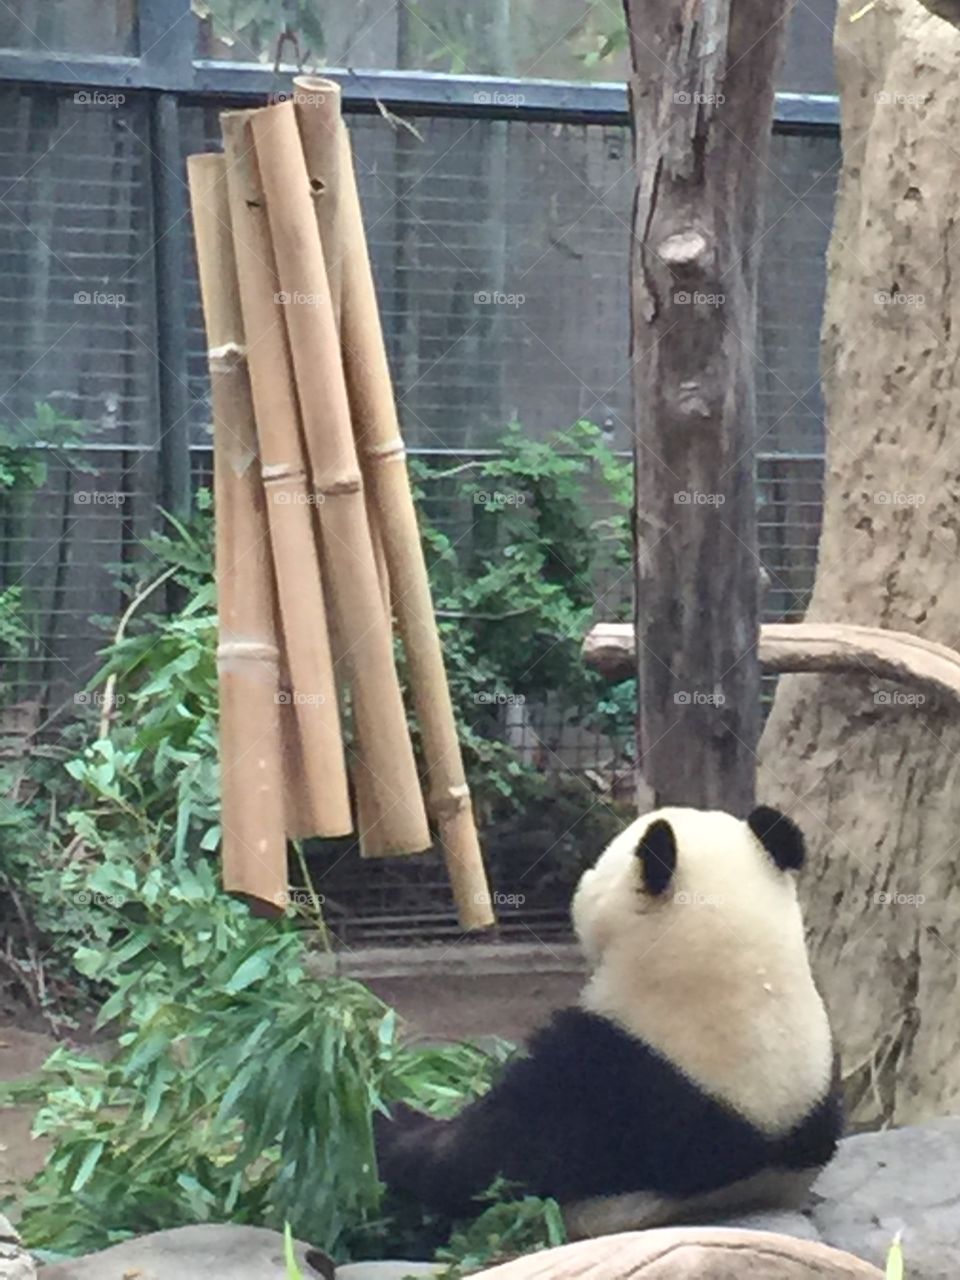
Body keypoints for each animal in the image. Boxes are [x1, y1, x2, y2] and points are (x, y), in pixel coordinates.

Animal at [375, 804, 843, 1239]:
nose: (579, 883)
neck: (752, 980)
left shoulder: (609, 1081)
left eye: (599, 864)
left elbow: (477, 1161)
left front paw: (390, 1118)